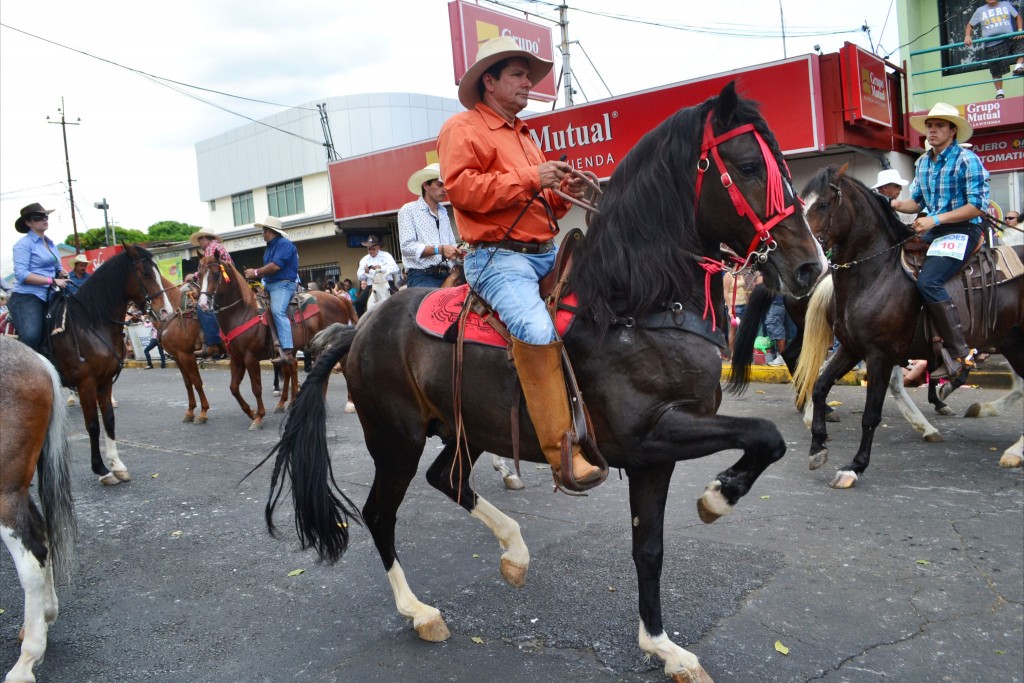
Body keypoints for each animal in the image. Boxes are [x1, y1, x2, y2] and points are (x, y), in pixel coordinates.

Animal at [47, 245, 172, 485]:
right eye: (145, 273)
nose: (166, 312)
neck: (91, 325)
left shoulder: (104, 382)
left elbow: (109, 421)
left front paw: (117, 465)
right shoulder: (86, 383)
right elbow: (93, 426)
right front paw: (101, 469)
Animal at [197, 253, 358, 430]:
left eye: (215, 274)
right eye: (199, 275)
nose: (203, 304)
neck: (242, 311)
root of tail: (339, 299)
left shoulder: (250, 357)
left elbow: (256, 387)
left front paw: (259, 417)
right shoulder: (236, 358)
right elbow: (233, 388)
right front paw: (251, 412)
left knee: (344, 367)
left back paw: (350, 403)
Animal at [262, 82, 823, 679]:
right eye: (748, 166)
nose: (810, 267)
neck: (637, 305)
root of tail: (360, 328)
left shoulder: (656, 455)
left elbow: (649, 548)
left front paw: (662, 645)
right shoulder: (649, 436)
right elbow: (764, 434)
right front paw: (720, 496)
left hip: (465, 429)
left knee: (447, 480)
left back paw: (514, 553)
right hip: (397, 441)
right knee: (379, 513)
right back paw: (420, 611)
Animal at [798, 164, 1024, 485]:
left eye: (823, 205)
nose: (807, 264)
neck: (878, 273)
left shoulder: (878, 354)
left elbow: (870, 414)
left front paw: (855, 466)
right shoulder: (852, 349)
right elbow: (819, 387)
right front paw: (818, 446)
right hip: (1013, 344)